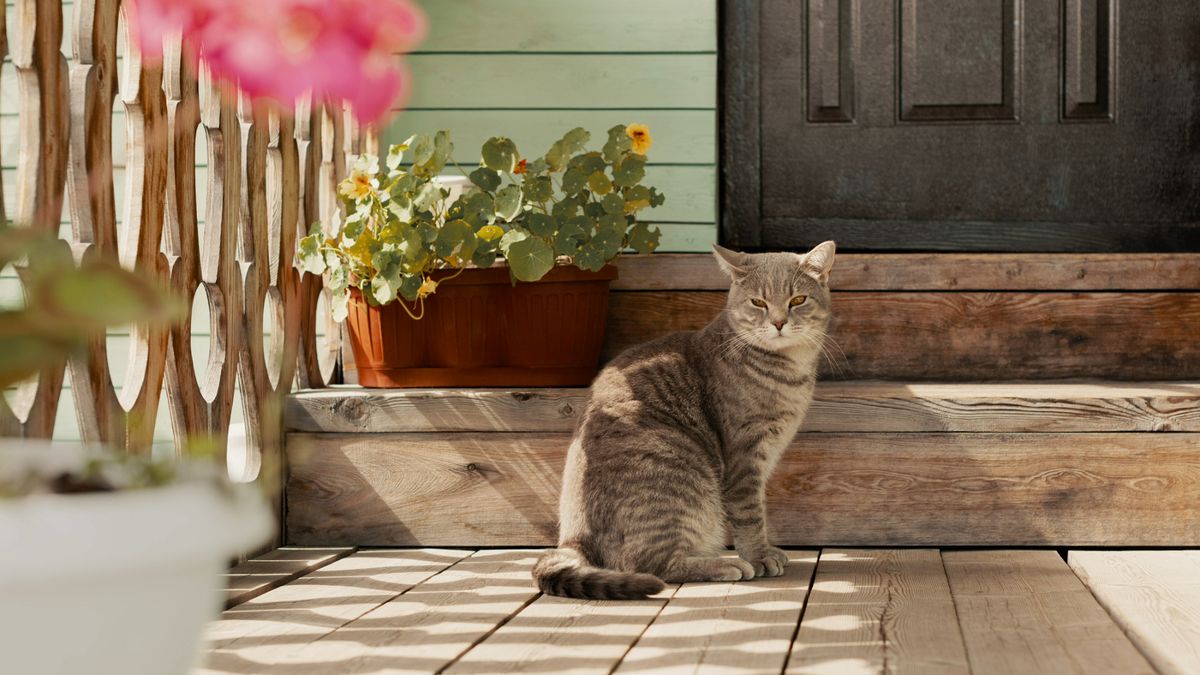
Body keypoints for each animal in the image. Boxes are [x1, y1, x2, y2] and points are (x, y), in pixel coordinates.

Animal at [535, 241, 835, 598]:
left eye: (798, 300)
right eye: (758, 302)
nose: (778, 322)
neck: (789, 369)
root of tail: (573, 537)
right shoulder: (745, 455)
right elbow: (749, 513)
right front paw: (759, 555)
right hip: (679, 471)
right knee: (651, 564)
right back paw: (722, 564)